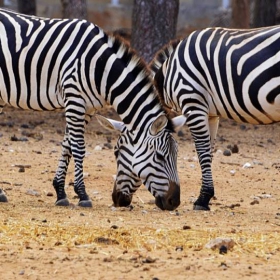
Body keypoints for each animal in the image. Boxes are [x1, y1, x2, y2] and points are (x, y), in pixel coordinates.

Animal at [0, 8, 188, 210]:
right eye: (160, 157)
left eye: (177, 154)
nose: (174, 201)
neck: (101, 68)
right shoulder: (74, 99)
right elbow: (78, 147)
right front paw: (82, 195)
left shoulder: (87, 108)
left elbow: (67, 146)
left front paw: (61, 193)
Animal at [151, 25, 280, 210]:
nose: (167, 202)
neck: (169, 73)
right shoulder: (211, 114)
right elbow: (208, 153)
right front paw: (207, 195)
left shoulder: (193, 103)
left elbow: (202, 151)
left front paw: (202, 199)